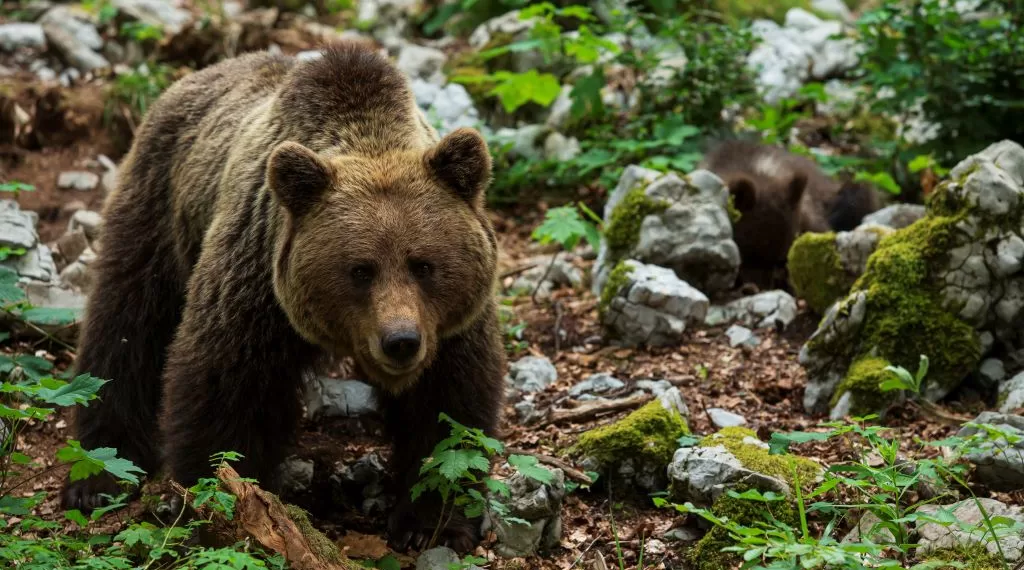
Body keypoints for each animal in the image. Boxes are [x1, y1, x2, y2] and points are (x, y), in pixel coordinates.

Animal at [60, 41, 505, 554]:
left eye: (424, 264)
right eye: (361, 270)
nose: (401, 341)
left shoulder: (452, 325)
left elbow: (449, 415)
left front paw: (432, 522)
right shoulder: (256, 281)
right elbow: (223, 387)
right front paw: (220, 509)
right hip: (161, 205)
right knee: (127, 324)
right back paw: (100, 472)